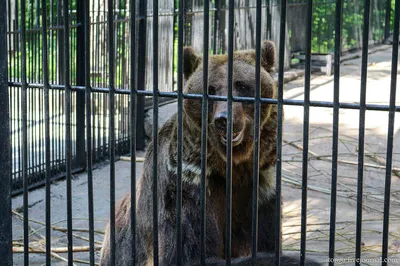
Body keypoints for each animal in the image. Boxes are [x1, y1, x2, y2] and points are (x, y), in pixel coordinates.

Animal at [100, 40, 322, 264]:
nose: (224, 119)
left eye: (241, 85)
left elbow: (264, 240)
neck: (231, 167)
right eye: (211, 89)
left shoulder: (261, 189)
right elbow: (190, 253)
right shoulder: (187, 186)